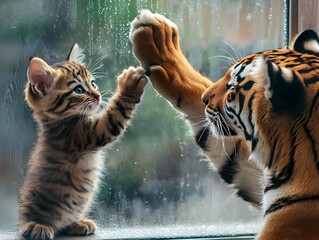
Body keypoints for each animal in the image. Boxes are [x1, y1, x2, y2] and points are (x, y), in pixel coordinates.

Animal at [18, 43, 146, 240]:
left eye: (93, 83)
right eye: (79, 90)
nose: (98, 95)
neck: (60, 122)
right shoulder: (89, 133)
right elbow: (116, 113)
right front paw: (129, 84)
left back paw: (77, 224)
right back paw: (37, 226)